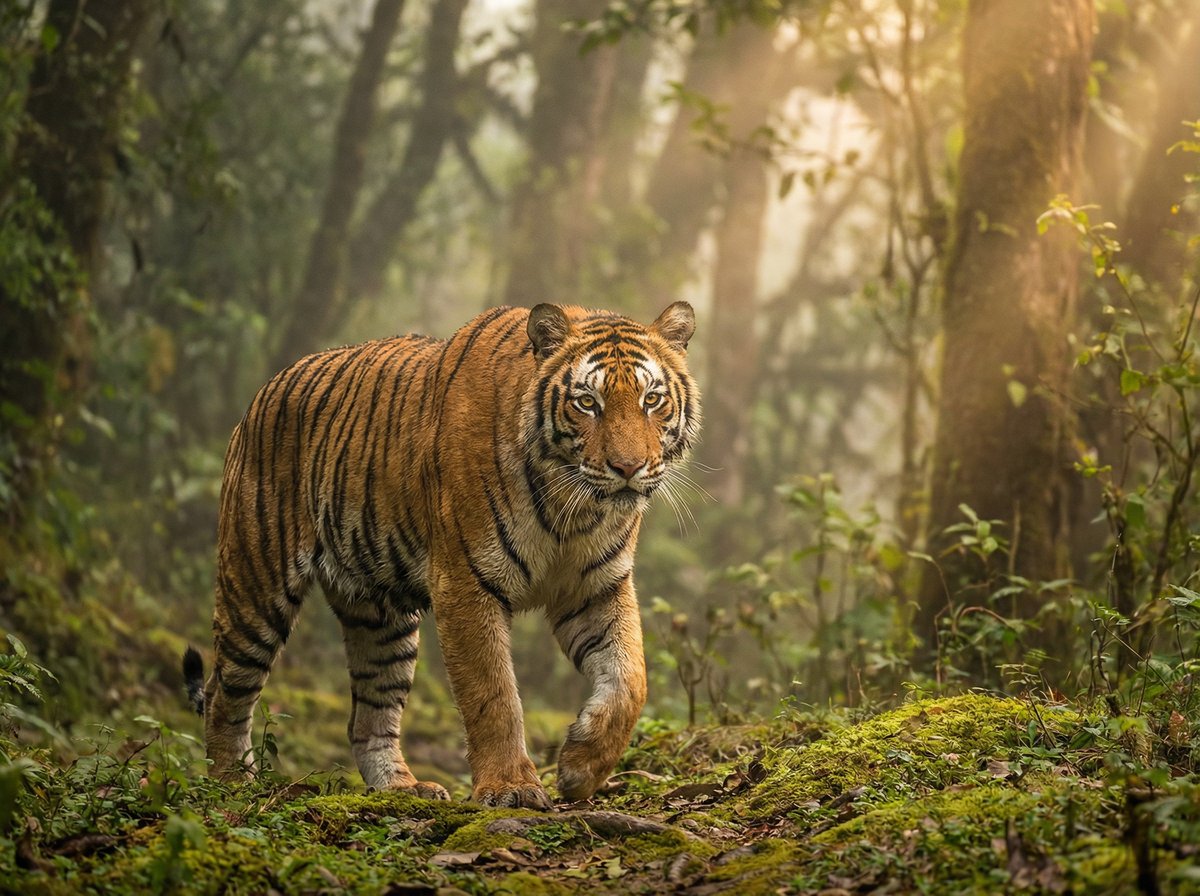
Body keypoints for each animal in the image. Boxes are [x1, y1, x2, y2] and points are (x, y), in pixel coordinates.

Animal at [182, 302, 701, 808]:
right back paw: (233, 785)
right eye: (587, 403)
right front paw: (510, 787)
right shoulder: (466, 582)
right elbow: (493, 693)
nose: (628, 468)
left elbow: (630, 680)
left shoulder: (596, 587)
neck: (571, 508)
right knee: (224, 691)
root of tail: (265, 389)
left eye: (651, 400)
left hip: (381, 616)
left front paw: (580, 767)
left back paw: (402, 789)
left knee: (368, 717)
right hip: (256, 583)